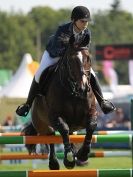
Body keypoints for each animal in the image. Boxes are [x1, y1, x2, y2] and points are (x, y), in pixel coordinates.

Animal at [21, 35, 97, 170]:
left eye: (88, 58)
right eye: (71, 60)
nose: (83, 89)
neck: (73, 91)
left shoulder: (88, 114)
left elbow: (91, 126)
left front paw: (83, 154)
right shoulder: (55, 117)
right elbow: (64, 129)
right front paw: (69, 159)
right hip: (43, 126)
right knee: (50, 137)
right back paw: (54, 163)